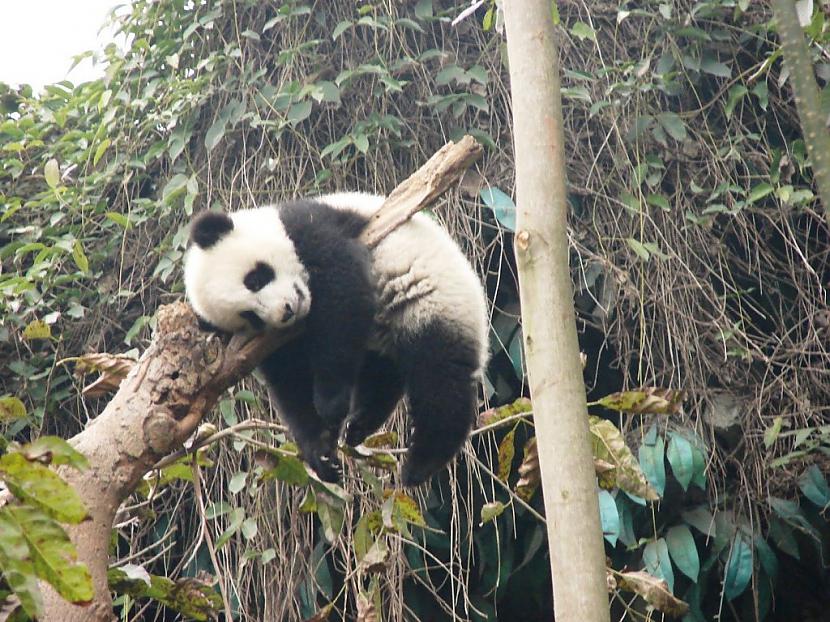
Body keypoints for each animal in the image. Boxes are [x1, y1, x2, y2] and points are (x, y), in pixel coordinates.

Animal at [185, 191, 490, 488]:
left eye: (256, 278)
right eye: (250, 316)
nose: (287, 311)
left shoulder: (312, 229)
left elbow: (342, 292)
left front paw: (330, 404)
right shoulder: (273, 344)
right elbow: (291, 381)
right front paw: (321, 452)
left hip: (434, 301)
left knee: (440, 377)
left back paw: (421, 463)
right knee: (383, 373)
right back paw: (360, 424)